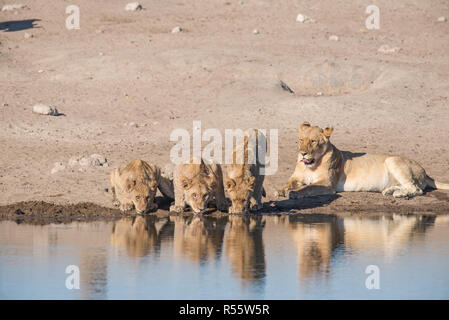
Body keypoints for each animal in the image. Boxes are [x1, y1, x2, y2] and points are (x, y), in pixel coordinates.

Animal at [276, 122, 448, 199]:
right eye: (301, 140)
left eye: (313, 141)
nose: (302, 153)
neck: (311, 165)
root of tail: (425, 171)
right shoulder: (296, 177)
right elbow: (288, 183)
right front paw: (280, 190)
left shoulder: (327, 184)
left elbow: (308, 188)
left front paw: (293, 193)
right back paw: (390, 191)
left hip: (393, 160)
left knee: (417, 189)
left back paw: (398, 194)